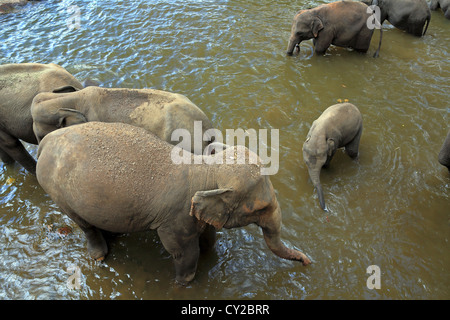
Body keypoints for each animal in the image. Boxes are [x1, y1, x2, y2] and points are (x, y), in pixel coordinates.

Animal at [37, 121, 312, 284]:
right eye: (260, 209)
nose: (308, 261)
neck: (206, 169)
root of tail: (45, 141)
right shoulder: (175, 220)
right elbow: (185, 253)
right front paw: (183, 283)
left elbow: (208, 240)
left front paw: (209, 254)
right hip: (56, 192)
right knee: (84, 225)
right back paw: (99, 257)